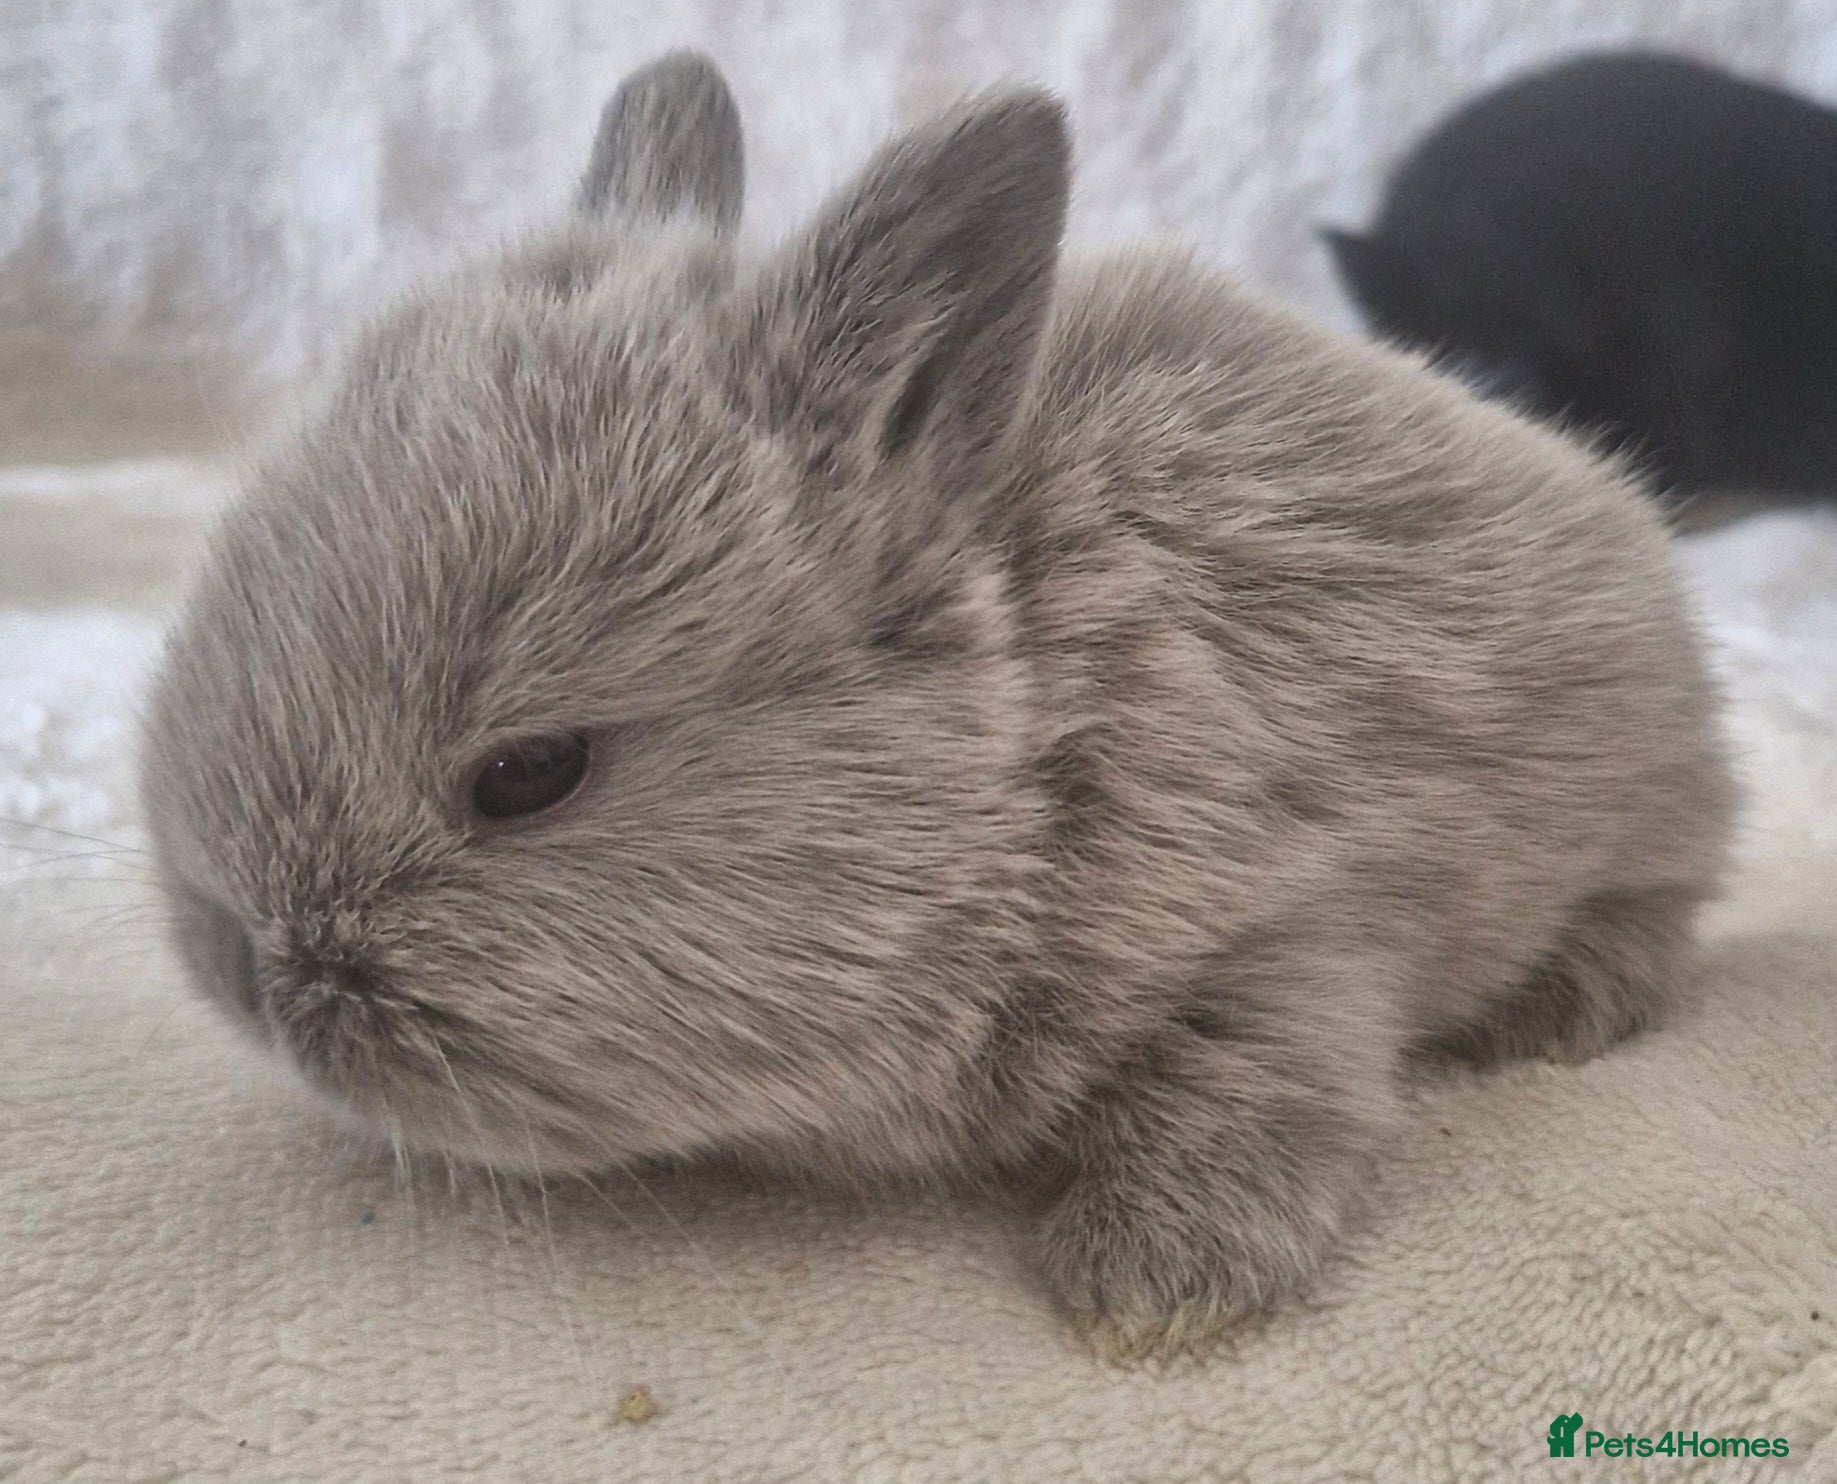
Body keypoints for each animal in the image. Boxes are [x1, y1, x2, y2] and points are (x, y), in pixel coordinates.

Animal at [139, 51, 1734, 1362]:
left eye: (532, 770)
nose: (241, 972)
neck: (1036, 742)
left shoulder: (1306, 910)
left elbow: (1264, 1074)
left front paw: (1147, 1293)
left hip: (1643, 806)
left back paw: (1563, 1007)